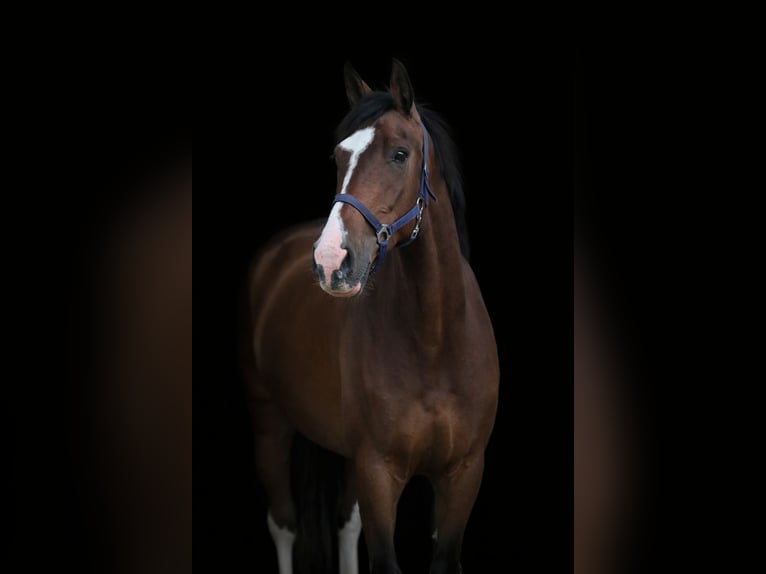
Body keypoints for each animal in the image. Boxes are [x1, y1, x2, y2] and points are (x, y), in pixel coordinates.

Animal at [241, 59, 499, 574]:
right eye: (338, 157)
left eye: (400, 154)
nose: (329, 261)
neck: (436, 342)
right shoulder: (378, 474)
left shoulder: (462, 476)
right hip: (270, 423)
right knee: (283, 525)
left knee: (345, 524)